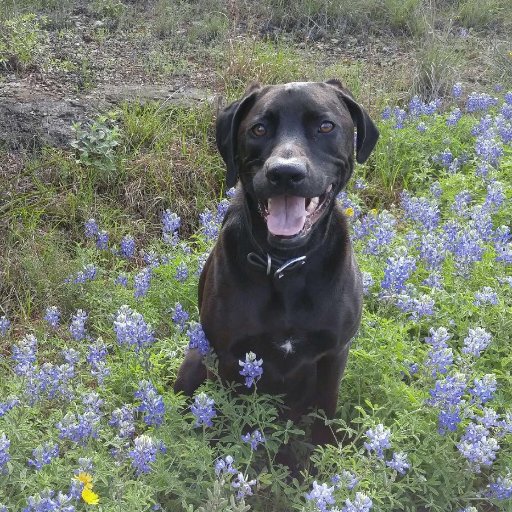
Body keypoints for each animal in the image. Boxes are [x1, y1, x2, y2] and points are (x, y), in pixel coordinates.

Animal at [174, 79, 378, 444]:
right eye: (259, 129)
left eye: (326, 126)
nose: (285, 173)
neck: (286, 268)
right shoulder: (231, 357)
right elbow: (230, 420)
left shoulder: (334, 353)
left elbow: (326, 413)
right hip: (197, 357)